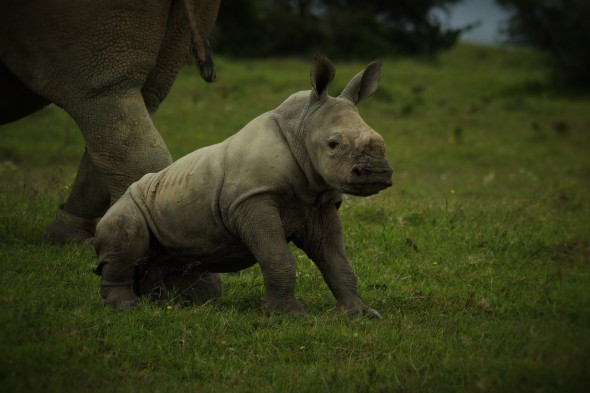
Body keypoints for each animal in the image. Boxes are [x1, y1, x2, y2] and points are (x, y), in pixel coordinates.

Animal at [95, 56, 396, 316]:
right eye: (333, 144)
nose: (377, 173)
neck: (301, 128)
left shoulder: (320, 201)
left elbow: (335, 258)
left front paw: (359, 314)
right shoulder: (252, 198)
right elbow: (277, 256)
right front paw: (287, 315)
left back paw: (174, 302)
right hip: (129, 203)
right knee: (125, 232)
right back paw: (126, 307)